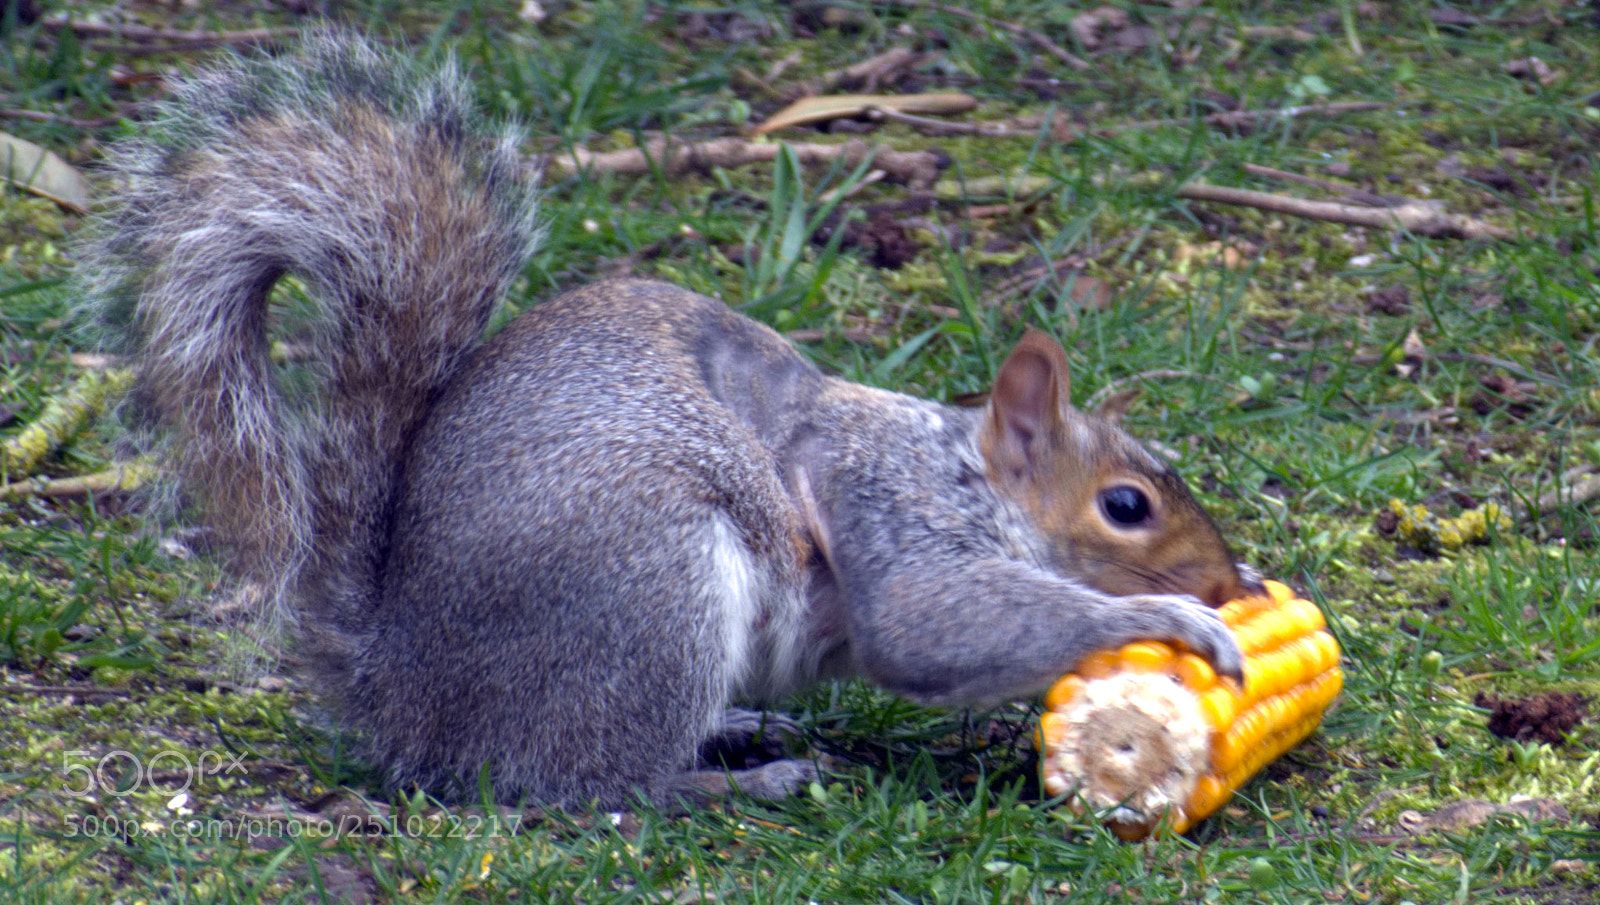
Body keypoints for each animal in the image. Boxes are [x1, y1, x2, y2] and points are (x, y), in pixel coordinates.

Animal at [86, 33, 1260, 809]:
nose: (1230, 585)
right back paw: (743, 778)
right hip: (648, 581)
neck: (959, 470)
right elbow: (933, 623)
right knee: (591, 780)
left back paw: (743, 725)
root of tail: (404, 691)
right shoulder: (889, 510)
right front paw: (1167, 619)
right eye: (1125, 505)